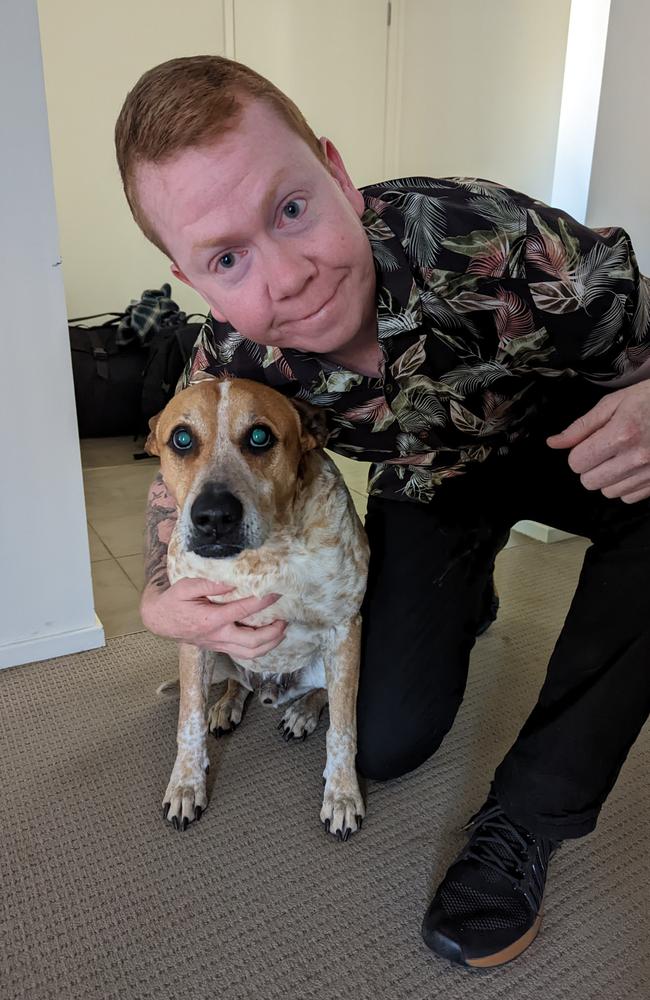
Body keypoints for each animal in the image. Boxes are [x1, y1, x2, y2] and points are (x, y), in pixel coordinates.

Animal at [147, 372, 370, 840]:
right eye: (181, 439)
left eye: (259, 436)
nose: (214, 516)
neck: (261, 558)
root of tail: (273, 688)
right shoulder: (196, 631)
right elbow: (188, 723)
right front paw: (186, 786)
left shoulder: (345, 630)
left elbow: (343, 729)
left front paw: (342, 796)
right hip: (218, 655)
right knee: (236, 683)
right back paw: (227, 705)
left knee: (322, 694)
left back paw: (301, 711)